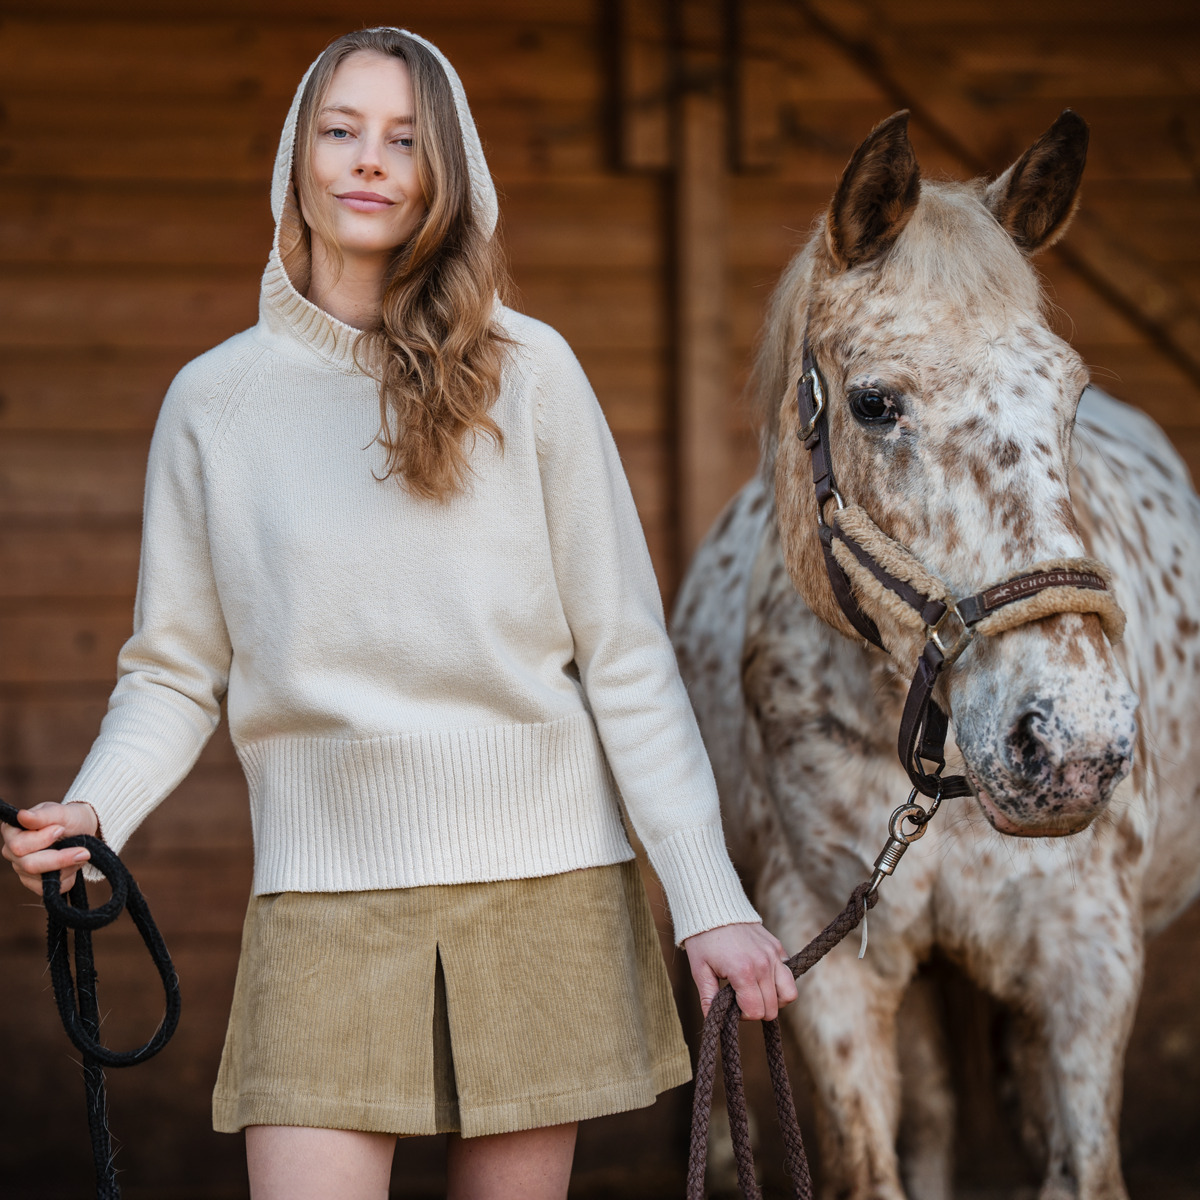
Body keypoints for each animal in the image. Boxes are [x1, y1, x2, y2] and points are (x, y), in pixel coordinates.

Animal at [672, 108, 1200, 1195]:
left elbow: (1080, 1164)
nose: (1071, 742)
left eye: (1070, 397)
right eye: (872, 403)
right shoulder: (835, 958)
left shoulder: (1089, 964)